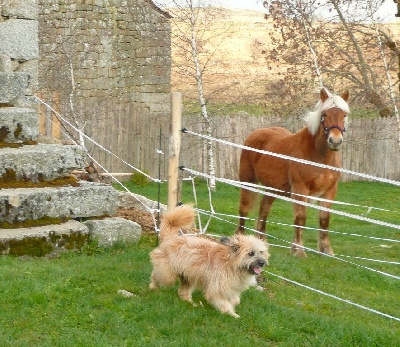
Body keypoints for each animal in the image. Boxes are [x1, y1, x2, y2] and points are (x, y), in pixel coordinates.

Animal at [236, 89, 348, 258]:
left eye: (344, 115)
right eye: (324, 114)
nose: (335, 141)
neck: (317, 155)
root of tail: (255, 134)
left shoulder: (330, 190)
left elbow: (324, 219)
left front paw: (326, 250)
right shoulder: (300, 189)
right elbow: (300, 218)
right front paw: (299, 251)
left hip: (272, 188)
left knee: (264, 209)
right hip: (247, 182)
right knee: (244, 209)